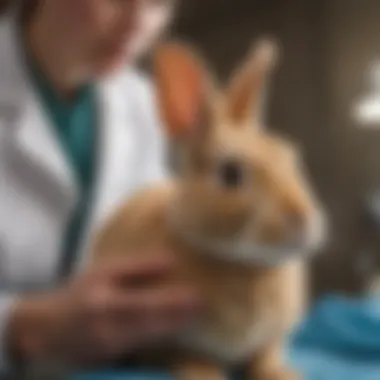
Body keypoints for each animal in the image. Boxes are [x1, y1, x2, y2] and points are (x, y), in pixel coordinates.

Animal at [91, 39, 326, 380]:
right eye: (231, 174)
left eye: (289, 156)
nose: (303, 220)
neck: (243, 264)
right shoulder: (167, 337)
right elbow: (190, 356)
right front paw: (205, 373)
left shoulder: (268, 340)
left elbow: (265, 356)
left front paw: (282, 373)